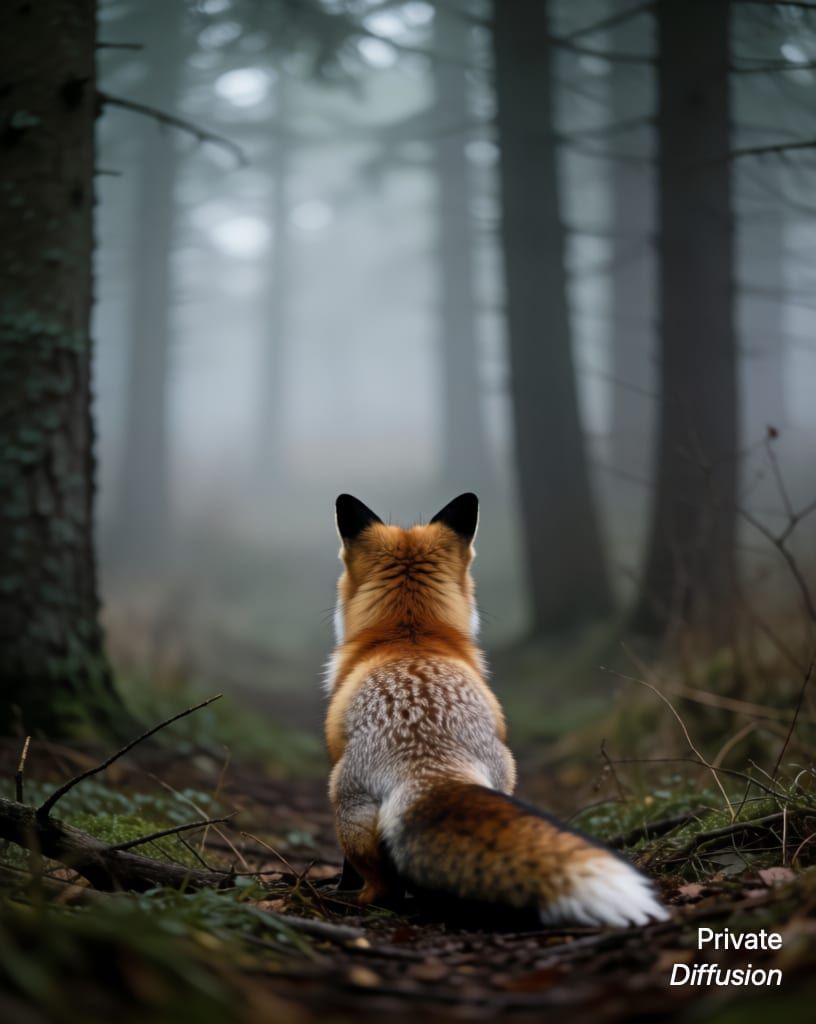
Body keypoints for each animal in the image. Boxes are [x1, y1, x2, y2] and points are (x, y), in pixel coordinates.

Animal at [324, 492, 669, 928]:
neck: (409, 634)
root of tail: (429, 762)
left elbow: (346, 870)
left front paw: (340, 886)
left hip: (342, 804)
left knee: (383, 886)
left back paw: (360, 901)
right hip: (505, 779)